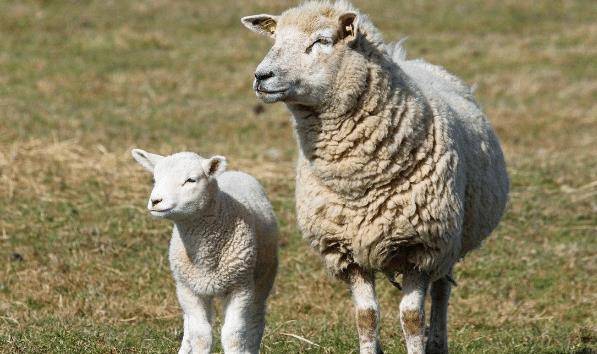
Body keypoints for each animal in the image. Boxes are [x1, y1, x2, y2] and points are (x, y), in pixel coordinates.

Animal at [132, 149, 276, 354]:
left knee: (256, 319)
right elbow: (201, 335)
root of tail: (236, 172)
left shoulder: (240, 287)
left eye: (190, 180)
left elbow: (233, 335)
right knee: (189, 324)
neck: (206, 257)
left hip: (263, 276)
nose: (155, 201)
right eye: (154, 179)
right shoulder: (188, 289)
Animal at [241, 0, 508, 354]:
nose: (261, 76)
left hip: (449, 239)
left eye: (323, 40)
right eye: (275, 39)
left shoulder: (421, 248)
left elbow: (412, 319)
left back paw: (437, 342)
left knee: (441, 291)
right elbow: (366, 317)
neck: (359, 181)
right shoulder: (345, 250)